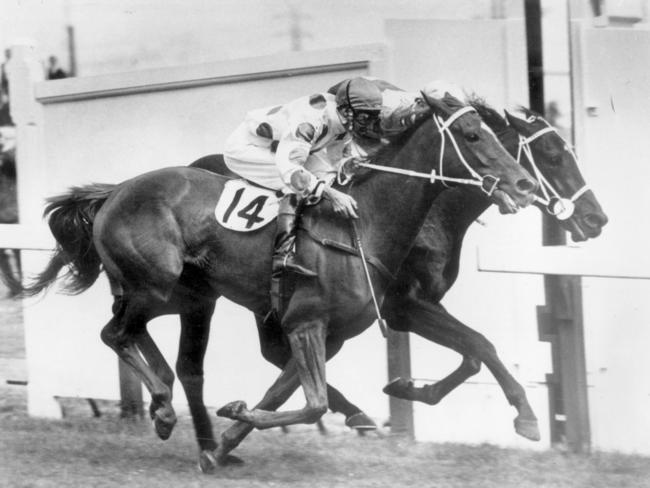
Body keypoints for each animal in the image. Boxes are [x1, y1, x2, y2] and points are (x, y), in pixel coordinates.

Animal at [22, 93, 536, 470]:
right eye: (473, 135)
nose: (524, 184)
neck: (365, 225)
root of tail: (114, 192)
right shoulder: (307, 323)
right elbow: (312, 403)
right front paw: (232, 417)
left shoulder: (328, 333)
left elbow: (286, 393)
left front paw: (220, 447)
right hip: (156, 283)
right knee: (116, 333)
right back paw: (164, 405)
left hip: (185, 294)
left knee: (142, 338)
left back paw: (164, 403)